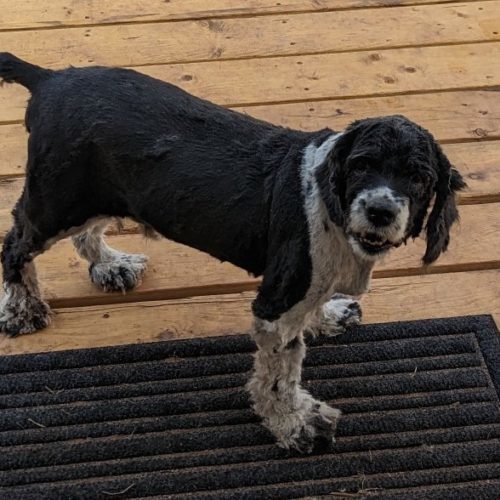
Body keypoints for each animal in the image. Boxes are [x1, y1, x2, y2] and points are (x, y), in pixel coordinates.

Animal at [0, 53, 464, 454]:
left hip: (97, 194)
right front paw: (296, 424)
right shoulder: (276, 306)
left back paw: (110, 264)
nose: (380, 211)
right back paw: (22, 310)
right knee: (15, 243)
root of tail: (49, 79)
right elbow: (279, 377)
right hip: (56, 200)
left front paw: (328, 314)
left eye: (418, 178)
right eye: (361, 165)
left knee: (85, 233)